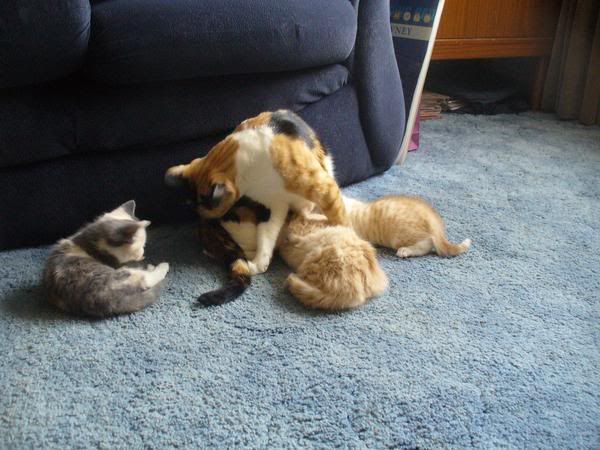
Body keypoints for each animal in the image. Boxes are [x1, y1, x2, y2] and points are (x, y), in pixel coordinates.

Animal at [165, 109, 347, 280]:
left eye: (206, 207)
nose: (202, 218)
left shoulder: (324, 188)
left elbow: (340, 220)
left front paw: (344, 237)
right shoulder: (274, 207)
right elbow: (266, 238)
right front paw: (257, 264)